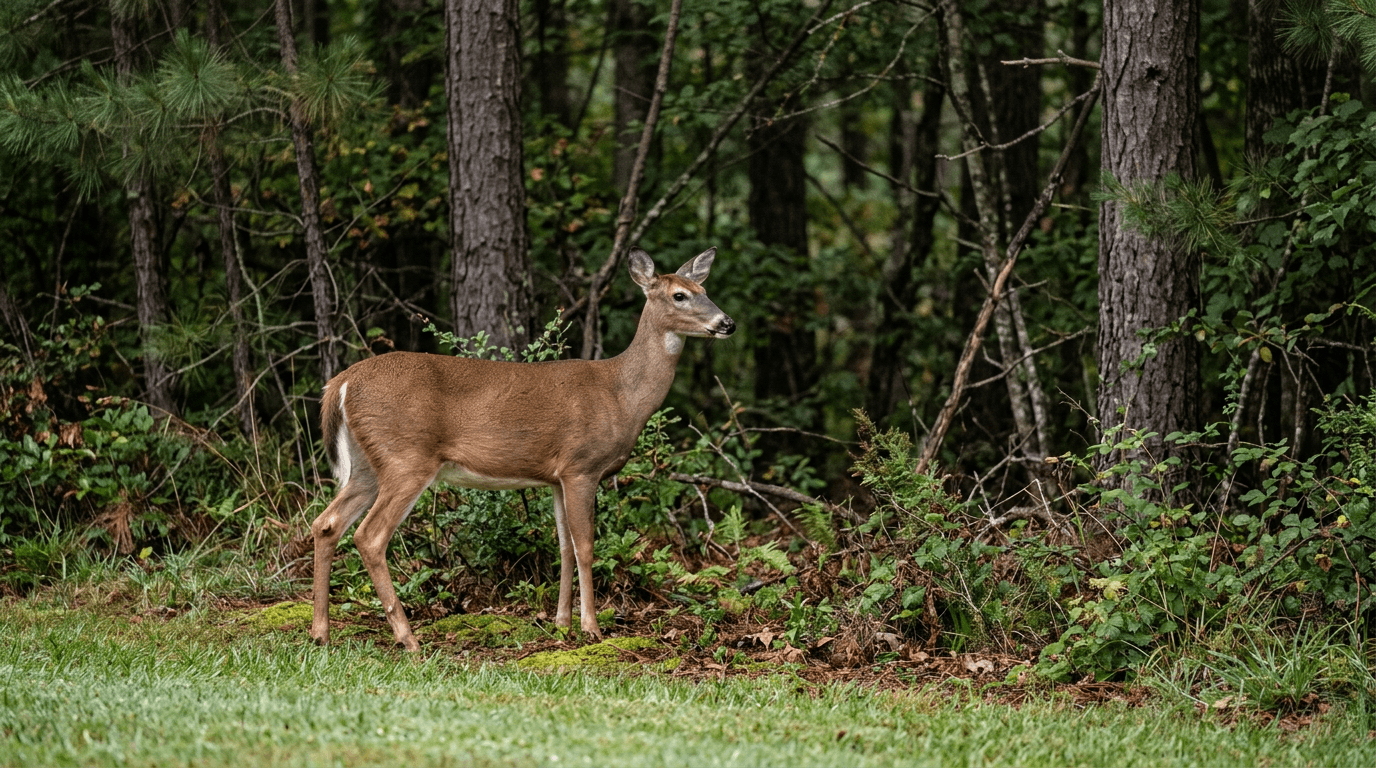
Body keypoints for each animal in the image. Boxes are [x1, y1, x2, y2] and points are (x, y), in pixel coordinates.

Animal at [309, 247, 734, 650]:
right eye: (680, 295)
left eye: (704, 289)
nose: (726, 323)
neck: (620, 395)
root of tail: (341, 383)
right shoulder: (582, 466)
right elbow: (585, 546)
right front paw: (591, 629)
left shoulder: (556, 477)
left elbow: (563, 547)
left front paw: (561, 624)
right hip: (406, 457)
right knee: (369, 536)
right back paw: (407, 638)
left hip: (368, 464)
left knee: (326, 523)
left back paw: (320, 634)